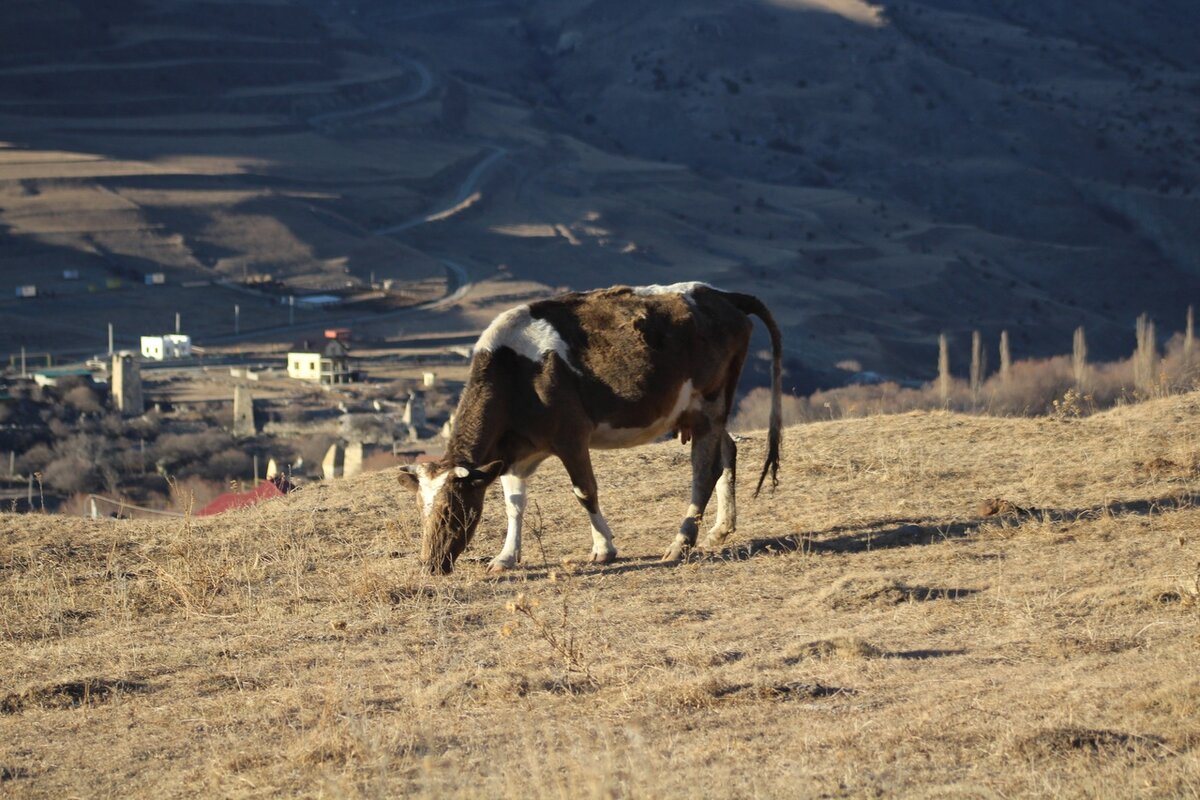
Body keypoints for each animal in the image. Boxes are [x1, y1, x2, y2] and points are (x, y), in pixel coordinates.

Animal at [398, 281, 782, 575]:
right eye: (420, 511)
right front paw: (506, 557)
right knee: (728, 450)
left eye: (453, 510)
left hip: (709, 405)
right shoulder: (514, 453)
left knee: (705, 470)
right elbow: (514, 504)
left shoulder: (571, 437)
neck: (515, 374)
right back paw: (720, 529)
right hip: (706, 411)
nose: (430, 565)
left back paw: (680, 543)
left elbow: (584, 491)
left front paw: (604, 548)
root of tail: (721, 295)